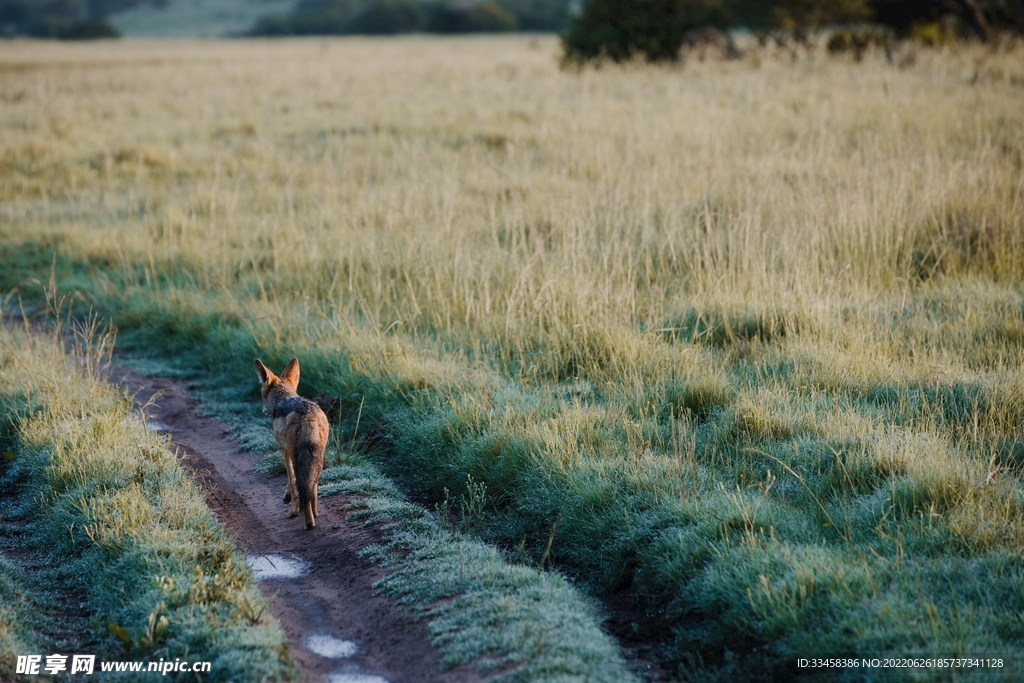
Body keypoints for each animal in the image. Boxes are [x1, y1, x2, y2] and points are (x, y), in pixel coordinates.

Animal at [252, 360, 325, 532]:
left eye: (262, 395)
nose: (263, 410)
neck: (284, 399)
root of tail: (309, 416)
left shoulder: (285, 451)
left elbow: (291, 481)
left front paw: (293, 509)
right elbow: (297, 485)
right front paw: (287, 497)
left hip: (297, 455)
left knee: (300, 485)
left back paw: (307, 522)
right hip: (318, 458)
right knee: (311, 487)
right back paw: (315, 513)